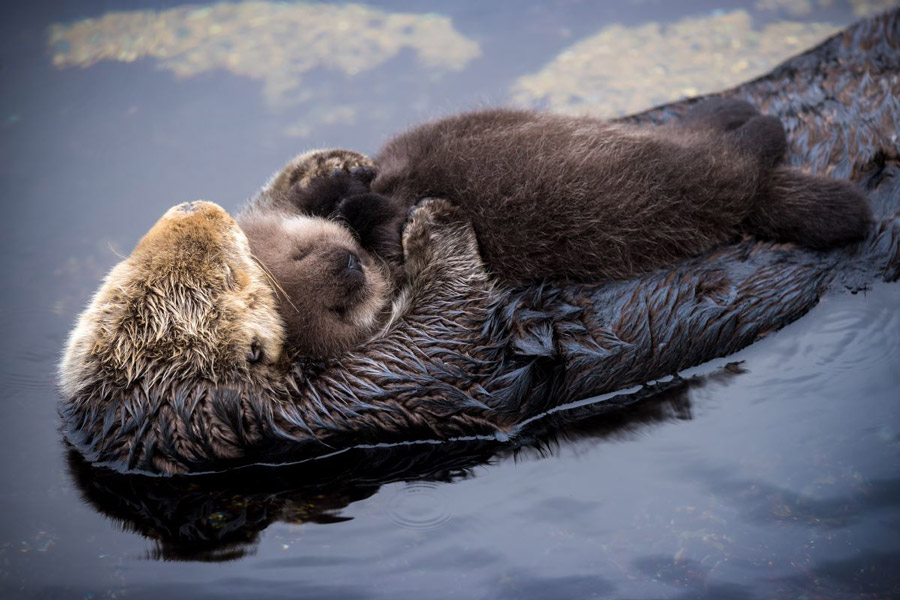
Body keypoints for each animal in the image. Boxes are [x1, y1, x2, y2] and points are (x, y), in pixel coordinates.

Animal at [241, 101, 872, 358]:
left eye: (303, 250)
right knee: (733, 166)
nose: (347, 263)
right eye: (339, 309)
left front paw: (340, 176)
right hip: (672, 188)